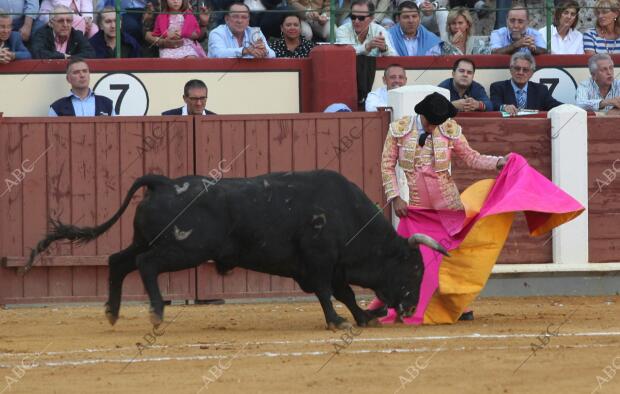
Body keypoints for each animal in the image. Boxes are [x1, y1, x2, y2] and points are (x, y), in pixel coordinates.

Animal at [23, 169, 446, 330]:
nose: (411, 308)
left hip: (148, 239)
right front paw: (338, 320)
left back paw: (112, 312)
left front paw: (362, 317)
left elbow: (343, 292)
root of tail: (163, 182)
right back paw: (157, 313)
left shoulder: (331, 265)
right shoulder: (320, 262)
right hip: (182, 250)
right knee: (145, 265)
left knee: (118, 261)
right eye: (414, 269)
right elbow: (330, 293)